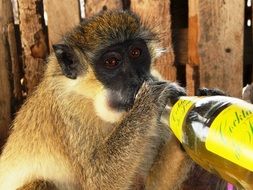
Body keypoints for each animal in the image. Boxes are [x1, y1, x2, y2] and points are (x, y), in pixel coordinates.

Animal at [0, 10, 194, 190]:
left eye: (136, 53)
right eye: (112, 62)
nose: (137, 79)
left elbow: (154, 185)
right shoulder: (70, 111)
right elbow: (97, 182)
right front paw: (150, 100)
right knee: (40, 183)